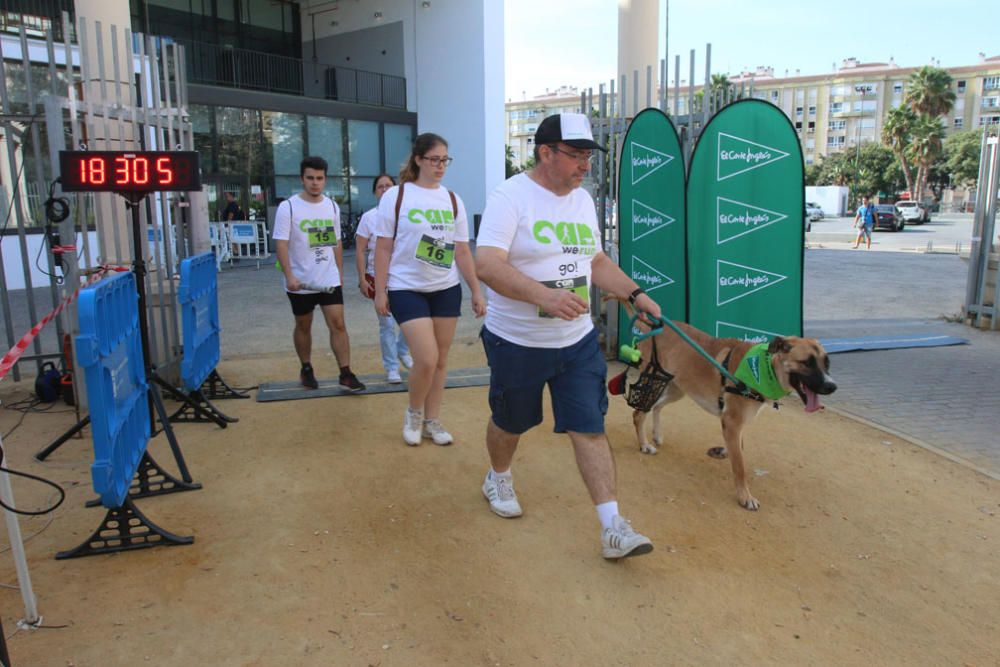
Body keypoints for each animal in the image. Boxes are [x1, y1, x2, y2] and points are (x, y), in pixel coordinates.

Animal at [624, 318, 836, 512]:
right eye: (807, 362)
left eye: (827, 363)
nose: (832, 386)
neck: (763, 369)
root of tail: (651, 327)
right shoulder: (732, 422)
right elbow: (740, 467)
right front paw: (745, 497)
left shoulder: (736, 425)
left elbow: (739, 448)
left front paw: (725, 451)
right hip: (654, 382)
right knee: (638, 414)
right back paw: (644, 445)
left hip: (676, 388)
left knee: (656, 407)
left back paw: (657, 435)